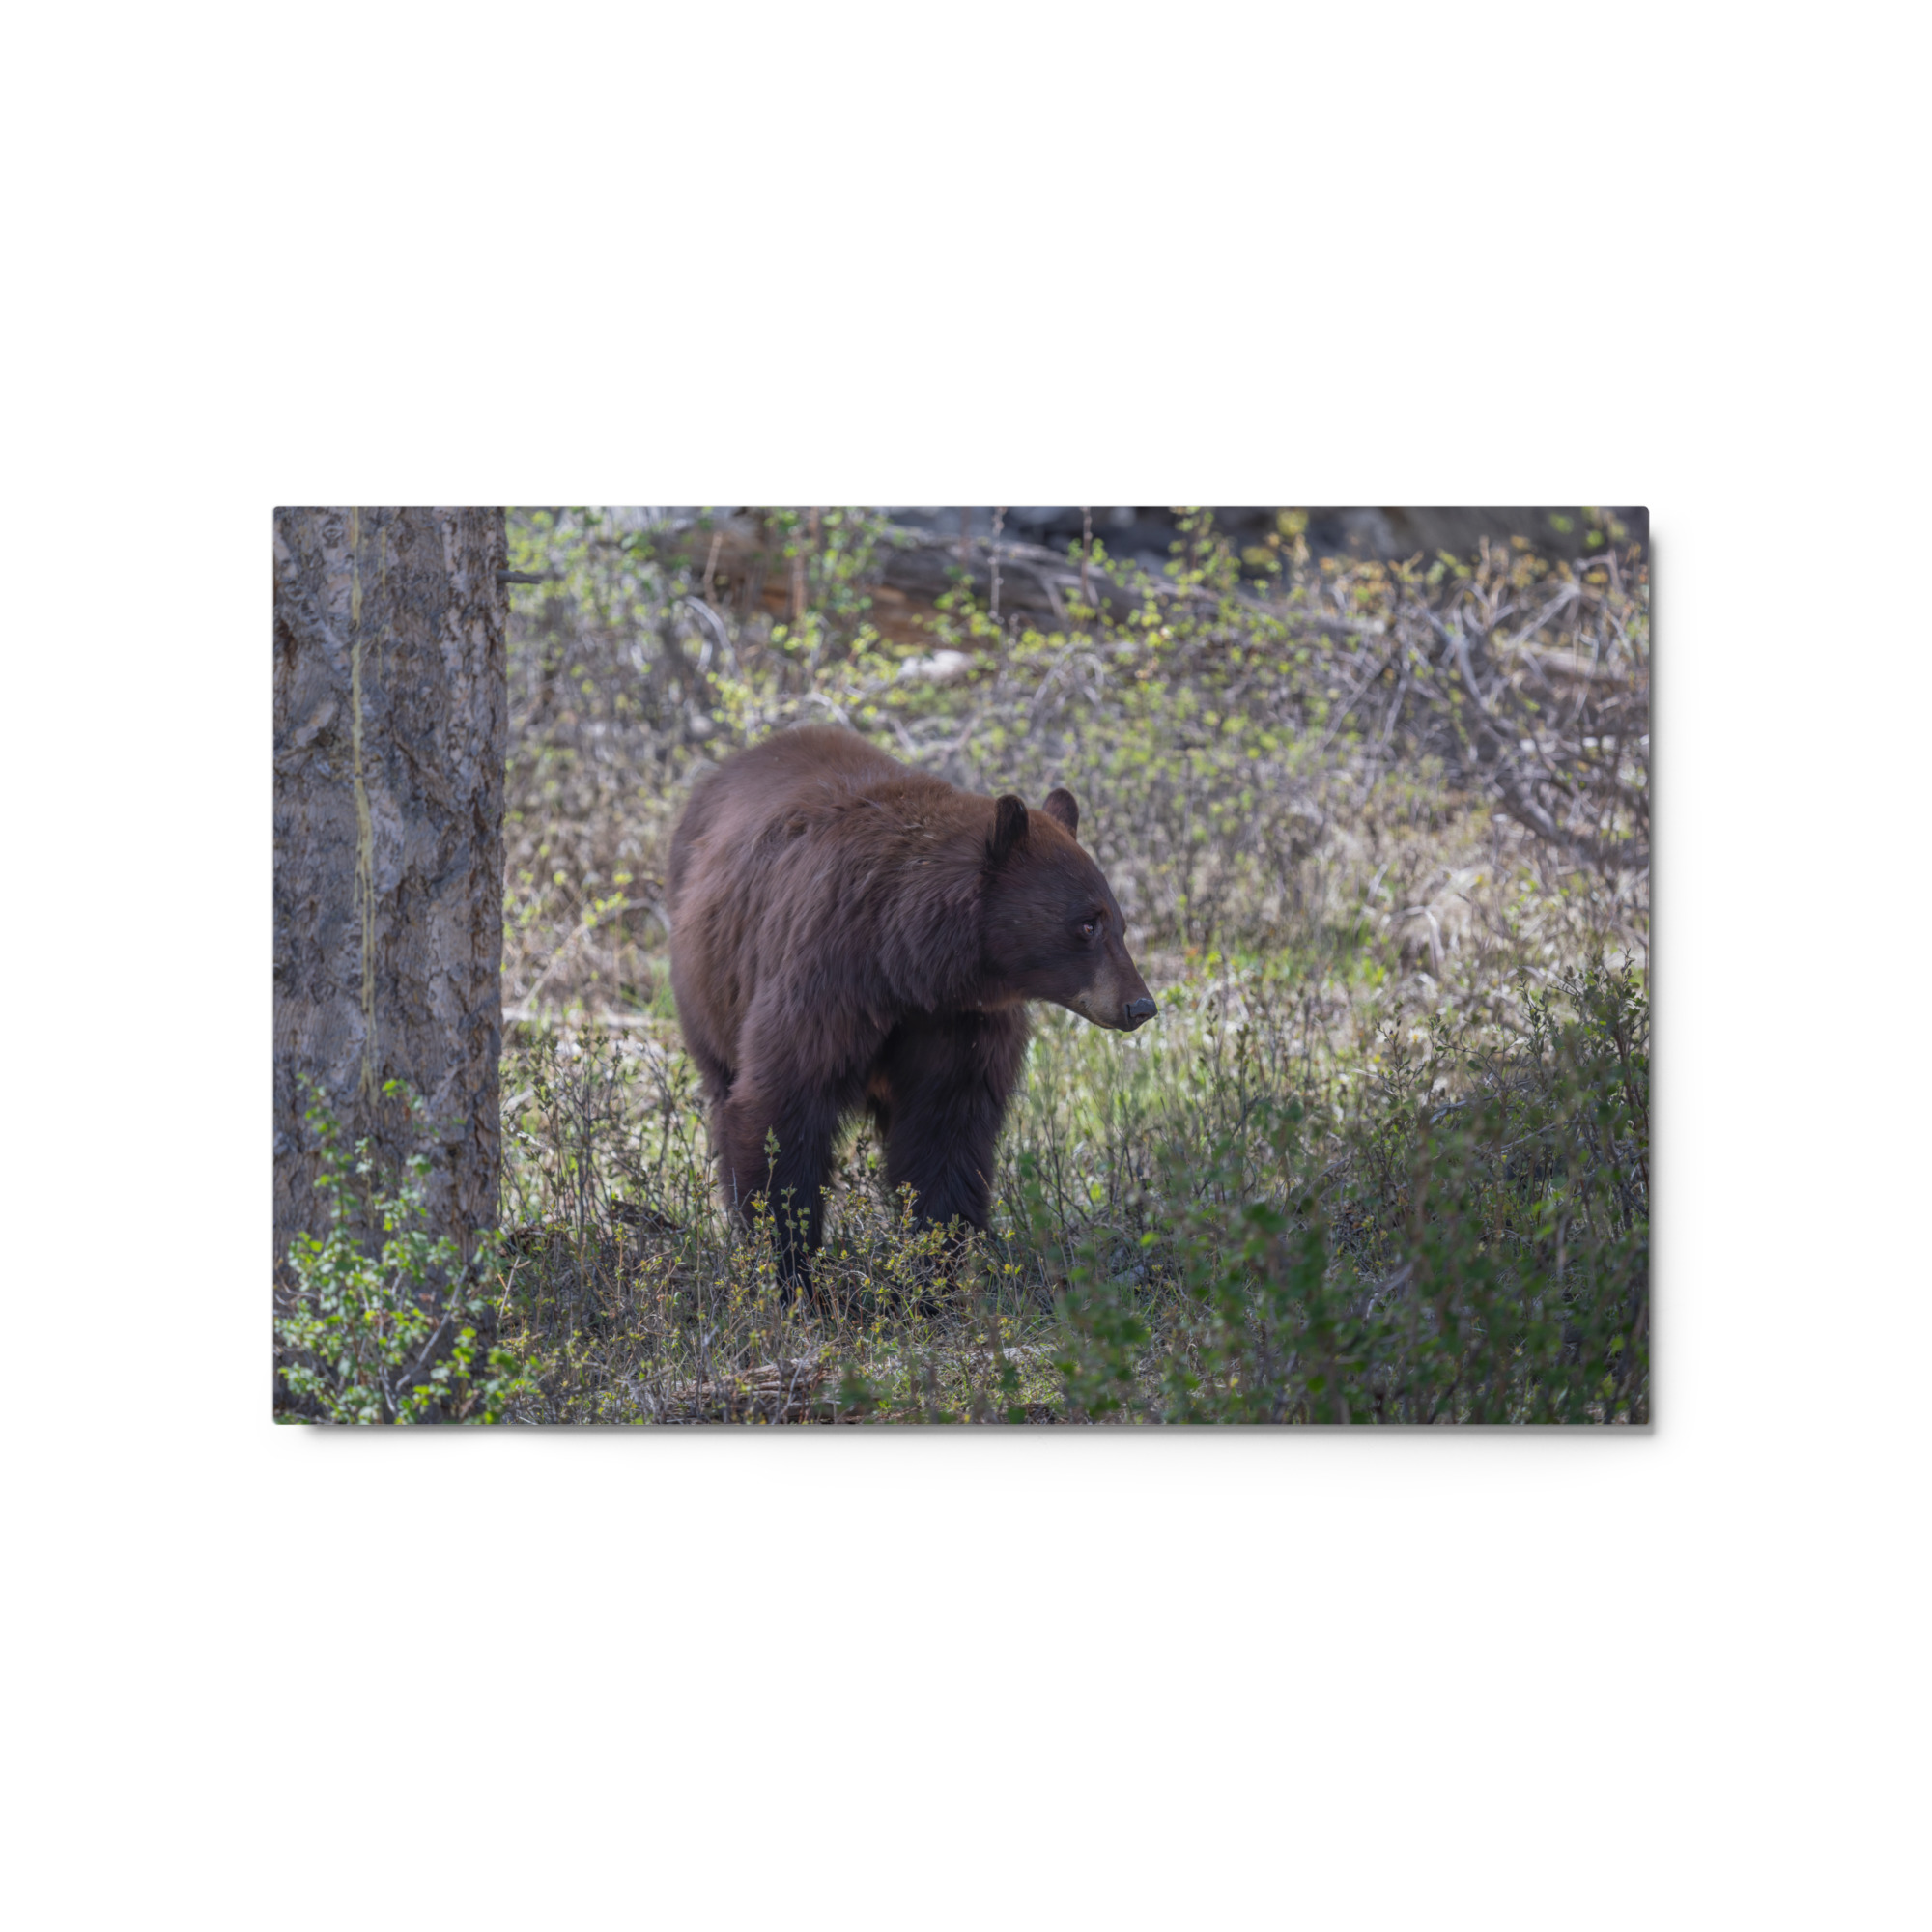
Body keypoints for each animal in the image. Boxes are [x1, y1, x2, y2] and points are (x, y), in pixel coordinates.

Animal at [666, 725, 1156, 1284]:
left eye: (1120, 923)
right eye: (1087, 924)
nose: (1140, 1005)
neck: (907, 963)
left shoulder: (959, 1021)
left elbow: (945, 1134)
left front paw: (931, 1272)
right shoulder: (824, 979)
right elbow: (782, 1109)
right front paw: (792, 1269)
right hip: (708, 989)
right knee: (723, 1087)